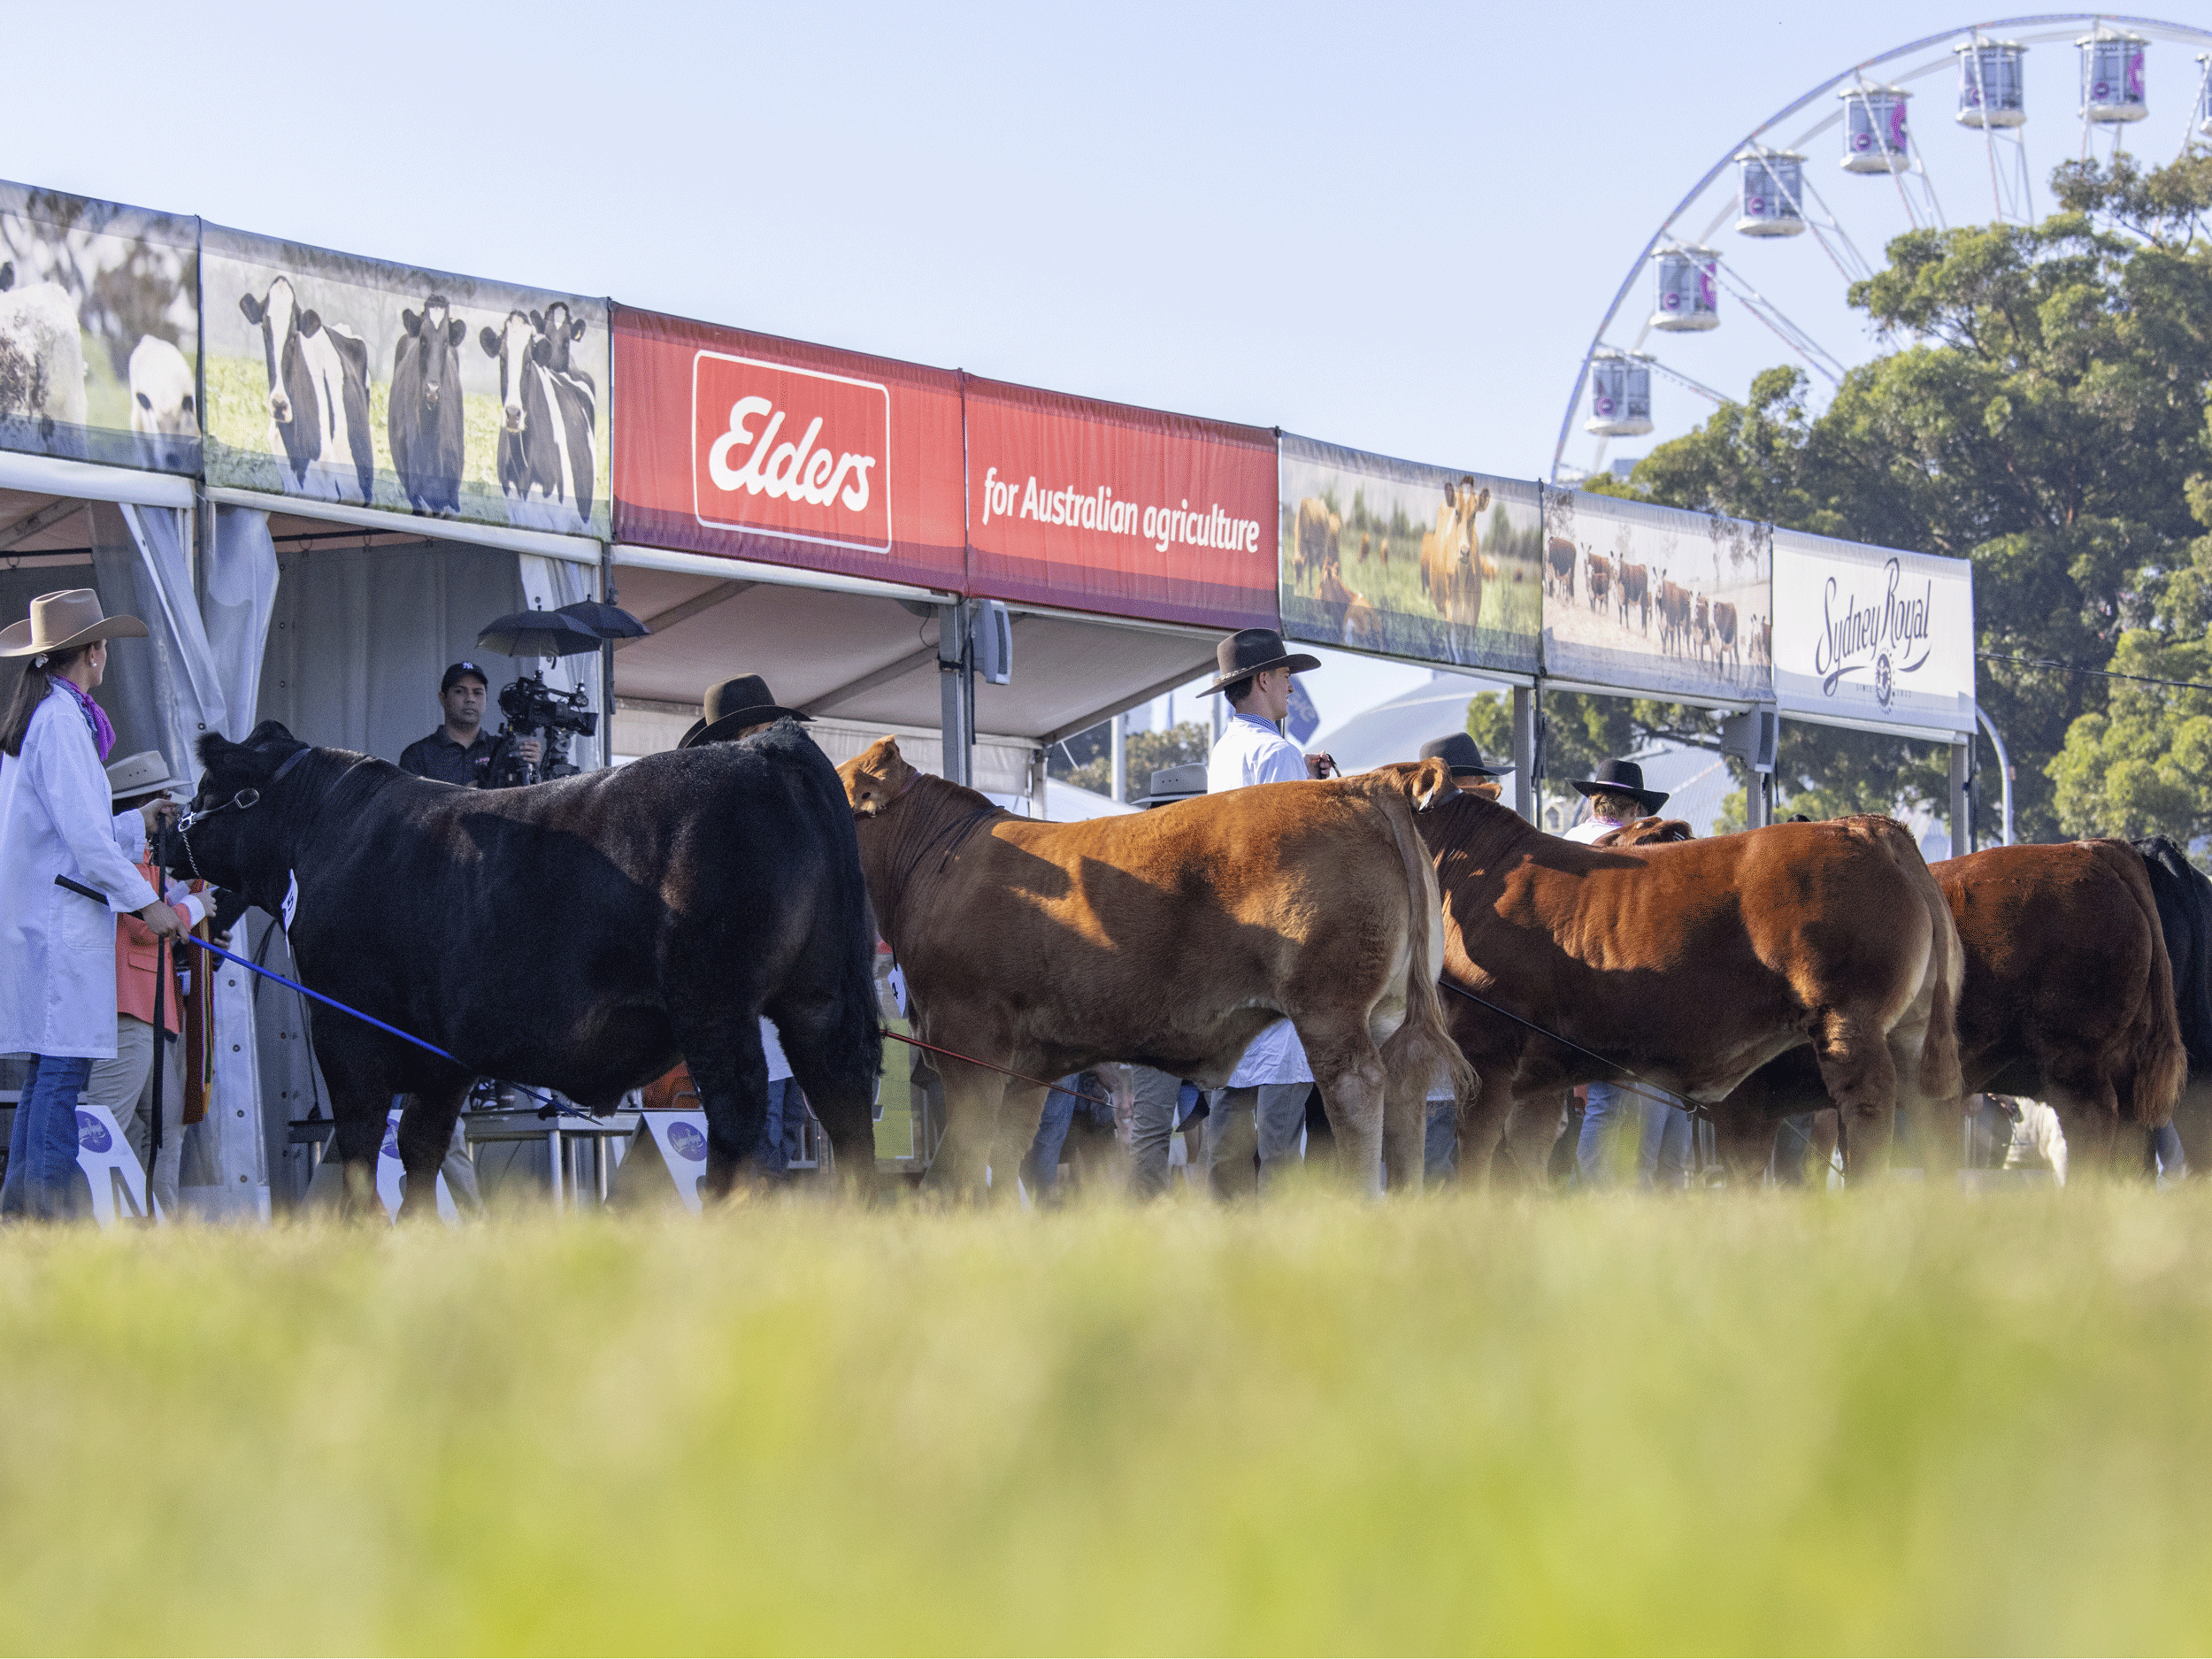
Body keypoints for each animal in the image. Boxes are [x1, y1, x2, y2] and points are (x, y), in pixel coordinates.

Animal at [176, 718, 882, 1213]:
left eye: (209, 787)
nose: (162, 833)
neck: (321, 828)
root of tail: (763, 748)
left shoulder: (345, 1022)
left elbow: (360, 1136)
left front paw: (364, 1228)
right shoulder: (443, 1047)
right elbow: (421, 1143)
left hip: (715, 1003)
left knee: (738, 1109)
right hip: (817, 999)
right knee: (844, 1099)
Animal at [836, 738, 1471, 1196]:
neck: (935, 861)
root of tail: (1366, 783)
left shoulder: (969, 1037)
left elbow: (958, 1168)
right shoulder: (1026, 1064)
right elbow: (1002, 1160)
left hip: (1330, 1009)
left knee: (1359, 1092)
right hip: (1387, 1012)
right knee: (1406, 1095)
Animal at [1376, 777, 1964, 1182]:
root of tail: (1864, 825)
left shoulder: (1486, 1048)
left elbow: (1474, 1152)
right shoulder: (1538, 1076)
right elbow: (1520, 1162)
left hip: (1850, 1020)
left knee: (1870, 1111)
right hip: (1911, 1033)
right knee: (1934, 1118)